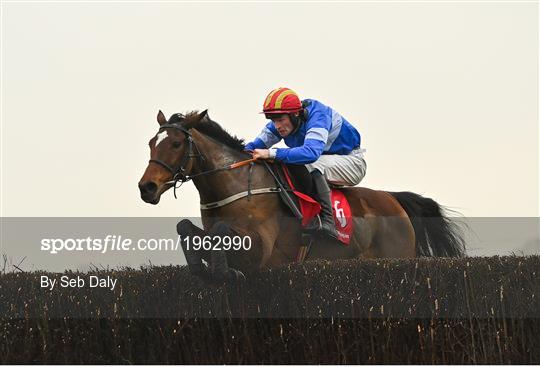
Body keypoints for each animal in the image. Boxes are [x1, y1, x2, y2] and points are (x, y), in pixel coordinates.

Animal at [138, 110, 464, 284]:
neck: (234, 186)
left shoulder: (260, 250)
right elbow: (186, 228)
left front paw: (224, 272)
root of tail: (393, 199)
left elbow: (221, 232)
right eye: (152, 142)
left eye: (176, 143)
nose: (147, 187)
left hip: (397, 256)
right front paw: (201, 270)